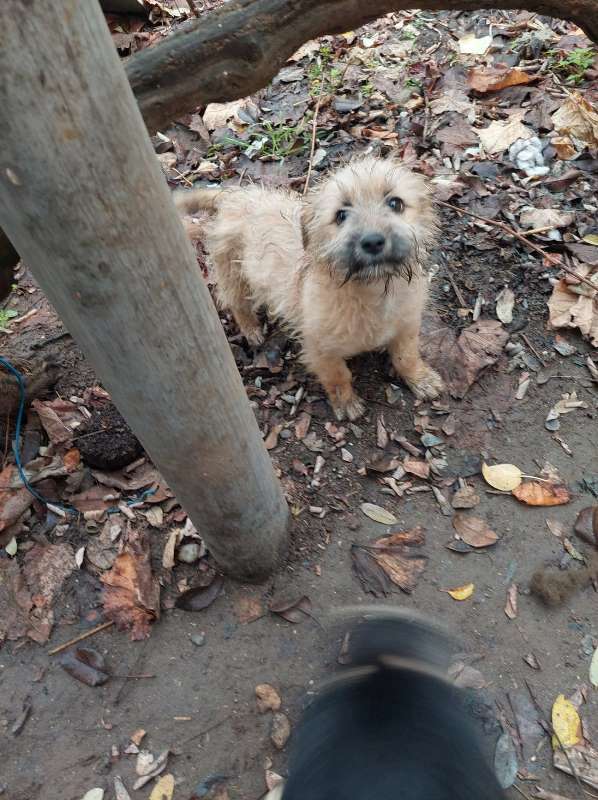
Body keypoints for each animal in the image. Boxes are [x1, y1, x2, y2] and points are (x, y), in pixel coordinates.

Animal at [175, 153, 446, 422]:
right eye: (341, 215)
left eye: (395, 203)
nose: (372, 241)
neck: (374, 290)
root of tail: (236, 196)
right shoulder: (320, 348)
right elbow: (338, 375)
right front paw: (346, 402)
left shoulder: (406, 326)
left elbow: (406, 357)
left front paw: (421, 378)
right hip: (234, 273)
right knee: (236, 303)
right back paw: (251, 329)